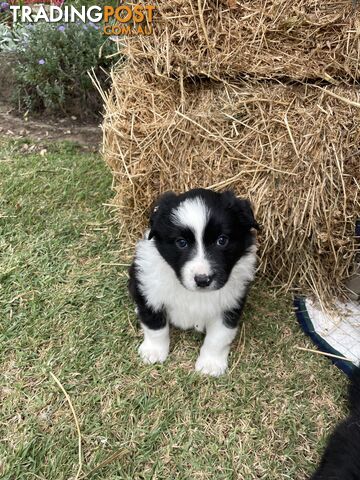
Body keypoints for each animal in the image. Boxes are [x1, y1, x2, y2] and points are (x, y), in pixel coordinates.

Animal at [128, 189, 258, 376]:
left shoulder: (231, 304)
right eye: (181, 243)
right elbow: (155, 326)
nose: (203, 280)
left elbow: (219, 336)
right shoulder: (150, 291)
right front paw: (154, 351)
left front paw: (211, 363)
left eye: (222, 240)